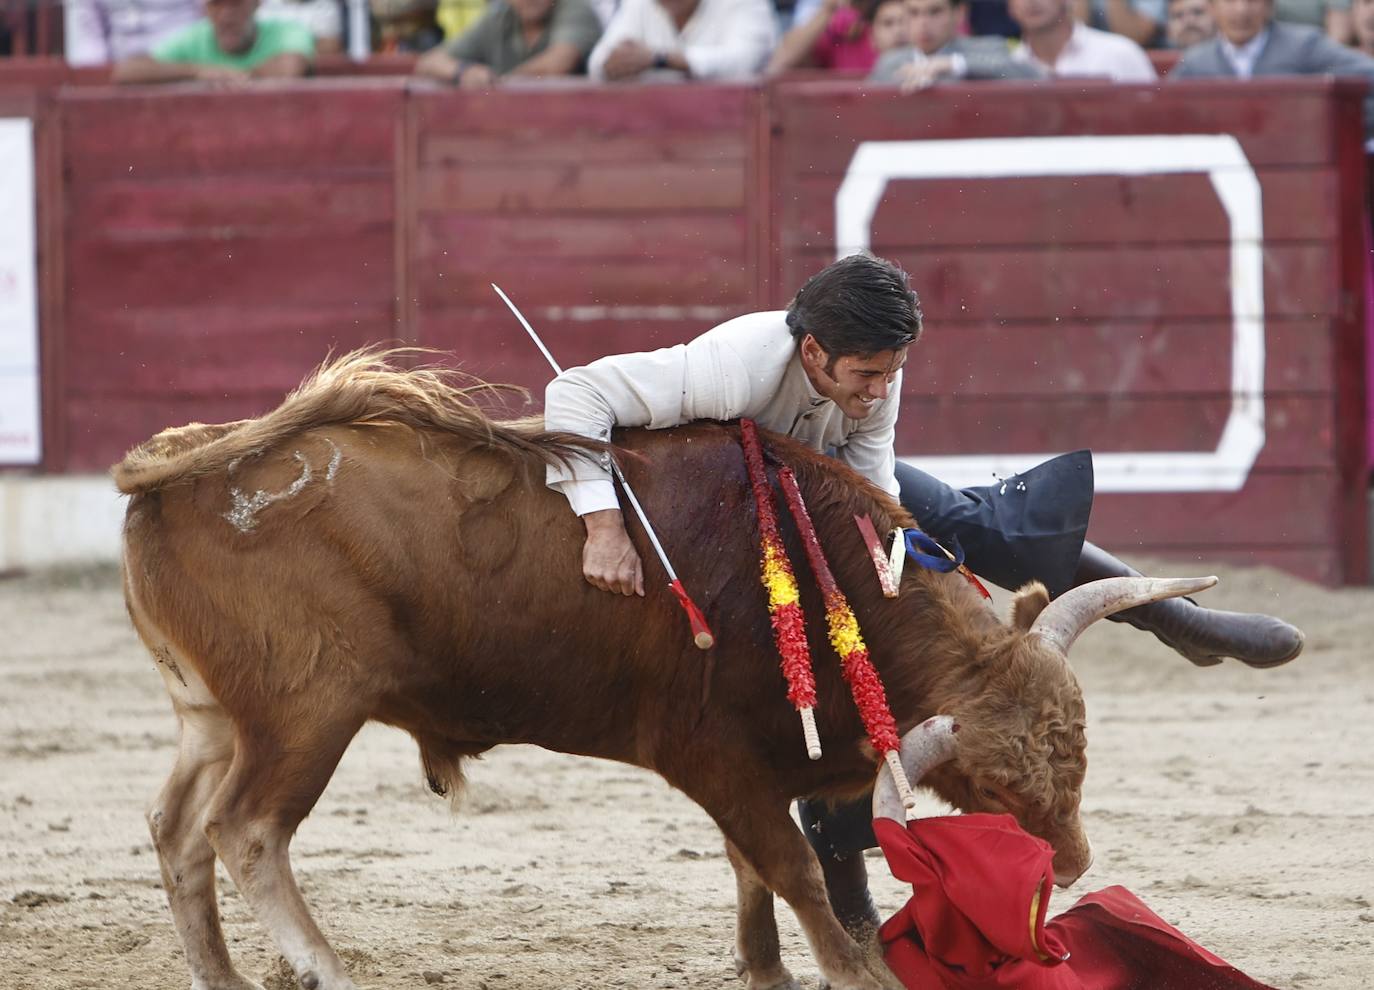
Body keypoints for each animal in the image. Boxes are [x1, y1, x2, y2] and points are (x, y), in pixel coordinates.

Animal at [118, 351, 1214, 988]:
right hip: (308, 711)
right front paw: (854, 973)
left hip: (214, 715)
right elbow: (792, 868)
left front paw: (764, 971)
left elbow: (749, 870)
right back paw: (328, 972)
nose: (1068, 863)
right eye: (992, 786)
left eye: (1079, 748)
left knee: (175, 829)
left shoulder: (756, 770)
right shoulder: (714, 759)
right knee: (245, 831)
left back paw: (221, 979)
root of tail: (187, 456)